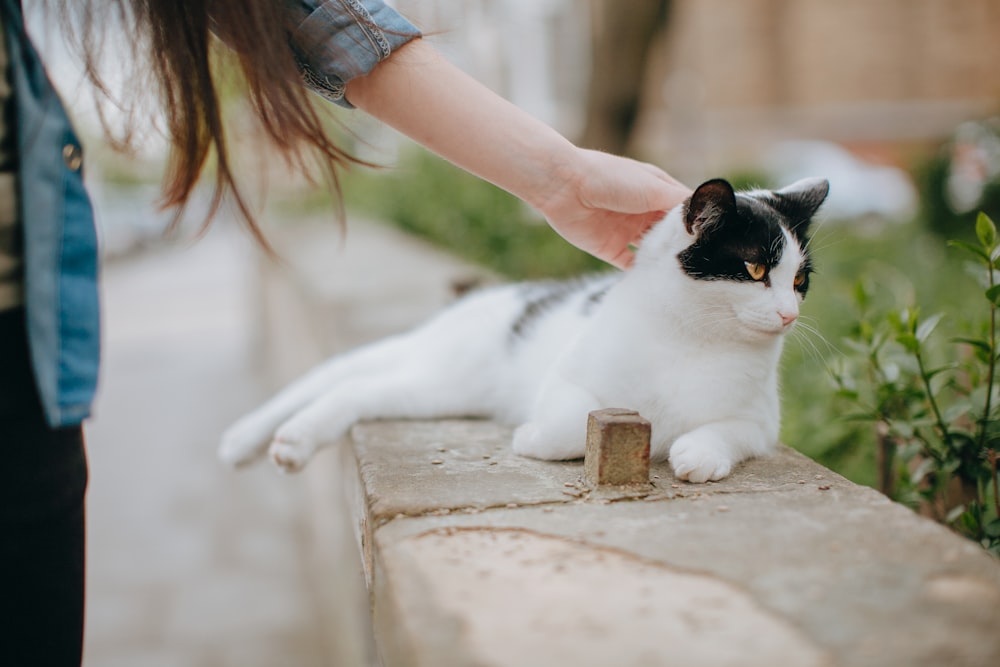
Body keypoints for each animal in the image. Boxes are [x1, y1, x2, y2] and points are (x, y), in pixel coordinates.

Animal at [221, 177, 828, 480]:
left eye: (799, 280)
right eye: (755, 270)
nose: (789, 315)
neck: (693, 343)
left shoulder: (758, 424)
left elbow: (724, 435)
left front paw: (696, 455)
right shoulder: (567, 380)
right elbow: (567, 424)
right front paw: (532, 439)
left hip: (438, 391)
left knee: (362, 390)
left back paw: (288, 440)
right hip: (447, 374)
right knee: (349, 384)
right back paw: (286, 439)